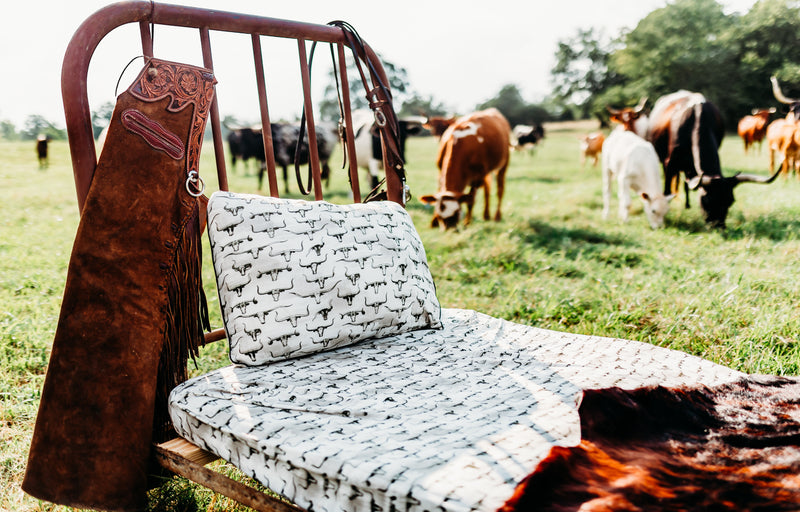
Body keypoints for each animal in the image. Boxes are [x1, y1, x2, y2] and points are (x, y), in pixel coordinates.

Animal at [648, 91, 780, 229]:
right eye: (707, 200)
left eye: (730, 201)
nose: (719, 226)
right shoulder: (670, 163)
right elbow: (667, 191)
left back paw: (687, 205)